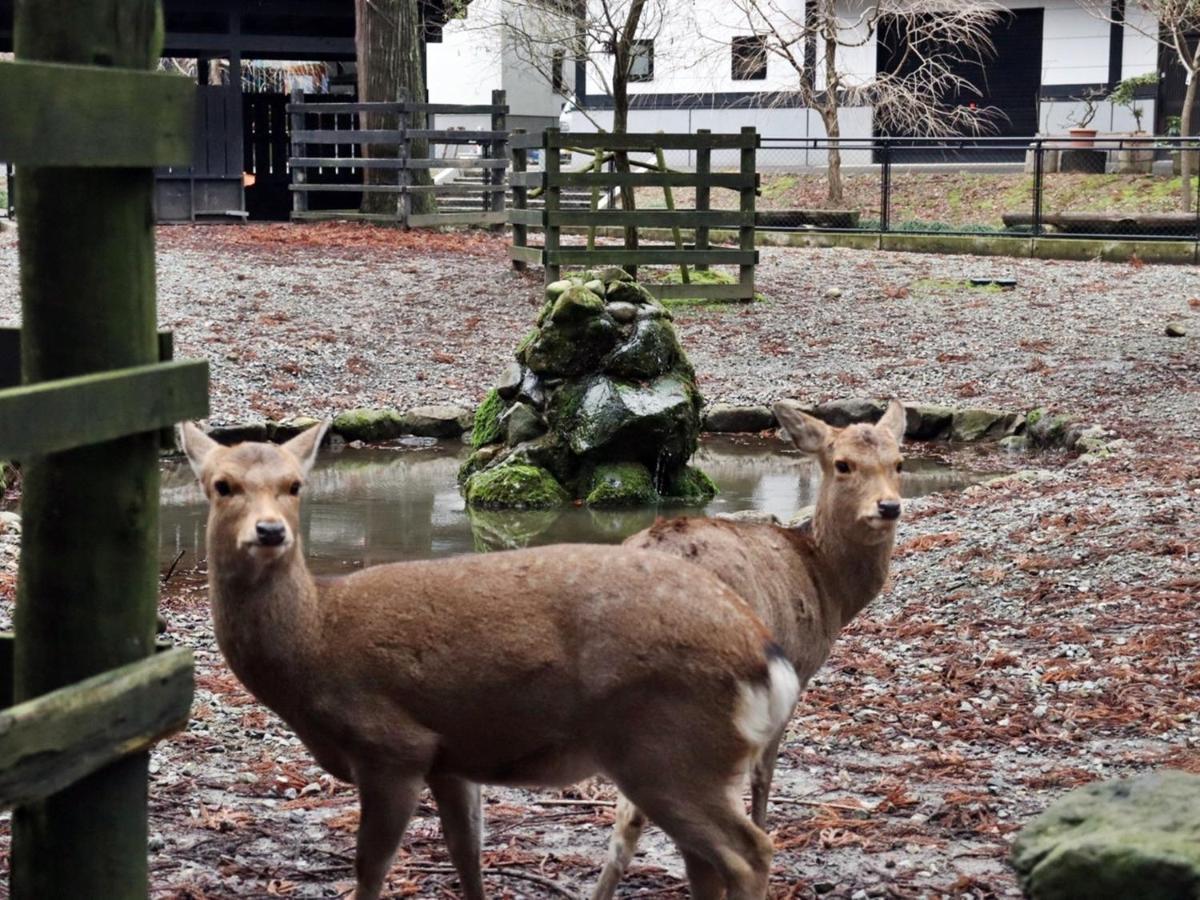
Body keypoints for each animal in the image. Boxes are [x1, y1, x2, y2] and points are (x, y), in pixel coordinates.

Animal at [177, 422, 801, 900]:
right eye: (222, 485)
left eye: (294, 484)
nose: (269, 531)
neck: (314, 645)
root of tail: (765, 655)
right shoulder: (449, 758)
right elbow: (466, 853)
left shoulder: (391, 746)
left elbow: (371, 869)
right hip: (695, 759)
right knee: (707, 862)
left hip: (665, 747)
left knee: (748, 852)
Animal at [590, 400, 902, 900]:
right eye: (843, 464)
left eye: (899, 462)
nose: (889, 506)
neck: (828, 587)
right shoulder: (795, 671)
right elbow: (764, 773)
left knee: (628, 820)